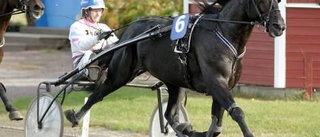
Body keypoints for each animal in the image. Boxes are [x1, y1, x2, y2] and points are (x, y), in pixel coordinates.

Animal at [65, 0, 284, 136]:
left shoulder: (224, 86)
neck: (223, 32)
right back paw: (75, 116)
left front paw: (197, 131)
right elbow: (236, 112)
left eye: (278, 0)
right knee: (97, 94)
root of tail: (130, 32)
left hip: (173, 81)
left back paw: (185, 129)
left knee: (169, 115)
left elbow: (216, 125)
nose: (279, 26)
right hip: (121, 73)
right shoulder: (216, 82)